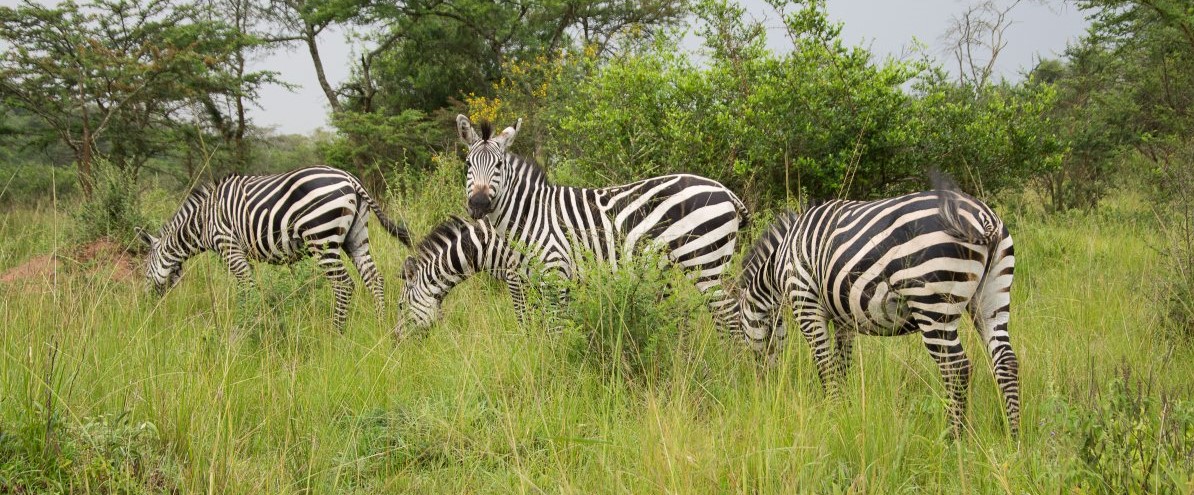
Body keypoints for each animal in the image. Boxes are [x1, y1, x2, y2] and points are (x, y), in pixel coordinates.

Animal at [135, 165, 413, 329]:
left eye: (145, 270)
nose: (146, 305)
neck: (202, 222)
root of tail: (351, 180)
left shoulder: (229, 245)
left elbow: (246, 287)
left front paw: (247, 323)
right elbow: (251, 287)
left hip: (320, 237)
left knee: (343, 285)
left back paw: (336, 332)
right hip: (355, 237)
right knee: (374, 279)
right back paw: (379, 323)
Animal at [453, 114, 745, 336]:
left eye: (499, 165)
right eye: (467, 164)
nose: (478, 204)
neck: (529, 214)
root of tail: (725, 191)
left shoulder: (555, 271)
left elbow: (556, 327)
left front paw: (557, 365)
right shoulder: (536, 278)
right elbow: (541, 325)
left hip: (704, 261)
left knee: (728, 314)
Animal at [740, 186, 1022, 438]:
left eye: (742, 334)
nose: (763, 384)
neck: (780, 263)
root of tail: (983, 218)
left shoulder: (806, 304)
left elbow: (825, 365)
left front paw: (831, 411)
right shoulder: (843, 317)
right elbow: (842, 365)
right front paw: (844, 410)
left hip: (931, 301)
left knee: (957, 368)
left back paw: (954, 439)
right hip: (992, 296)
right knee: (1005, 361)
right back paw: (1014, 436)